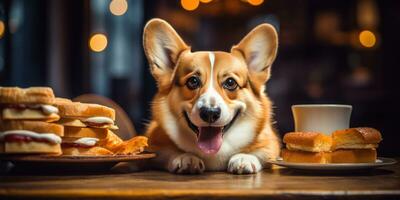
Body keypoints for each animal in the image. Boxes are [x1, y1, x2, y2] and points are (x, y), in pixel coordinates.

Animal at [142, 18, 280, 174]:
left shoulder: (270, 143)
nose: (210, 113)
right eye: (193, 81)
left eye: (230, 82)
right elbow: (164, 152)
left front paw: (244, 158)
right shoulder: (154, 142)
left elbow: (265, 152)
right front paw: (186, 157)